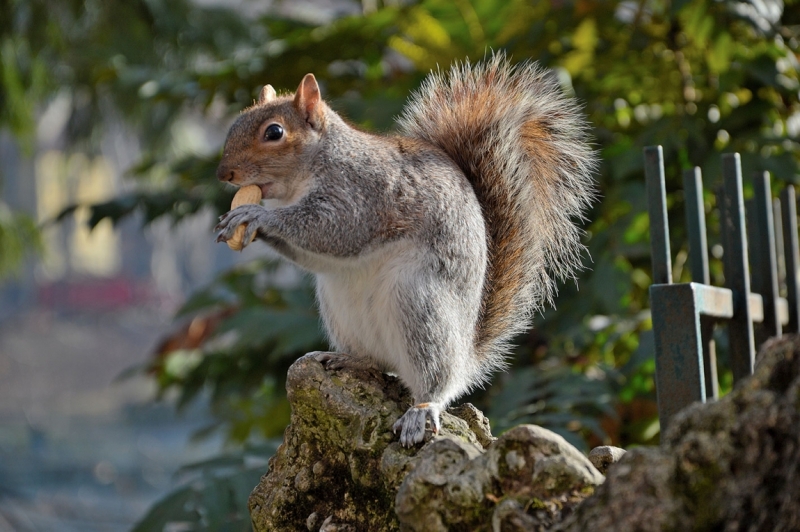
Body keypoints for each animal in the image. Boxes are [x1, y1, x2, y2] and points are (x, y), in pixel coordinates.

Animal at [216, 53, 596, 444]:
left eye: (274, 132)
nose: (223, 173)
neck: (317, 164)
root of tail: (467, 355)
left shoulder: (363, 195)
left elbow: (334, 230)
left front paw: (257, 215)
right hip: (340, 307)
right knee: (378, 361)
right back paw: (349, 359)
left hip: (419, 303)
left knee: (437, 379)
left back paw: (422, 409)